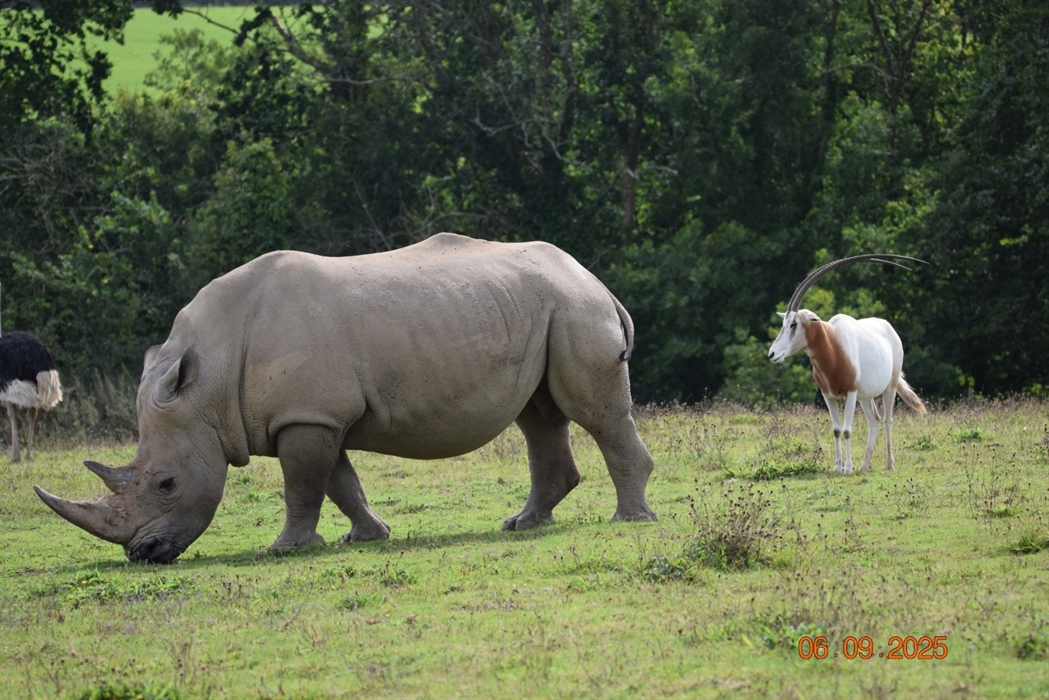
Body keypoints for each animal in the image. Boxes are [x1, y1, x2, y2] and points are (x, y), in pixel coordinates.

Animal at [36, 233, 657, 563]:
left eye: (166, 484)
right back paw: (523, 525)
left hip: (574, 310)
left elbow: (304, 485)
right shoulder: (315, 415)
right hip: (544, 308)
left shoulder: (306, 416)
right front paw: (368, 537)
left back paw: (629, 521)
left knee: (593, 413)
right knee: (539, 417)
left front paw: (285, 549)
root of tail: (596, 281)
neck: (207, 379)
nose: (142, 555)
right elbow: (339, 481)